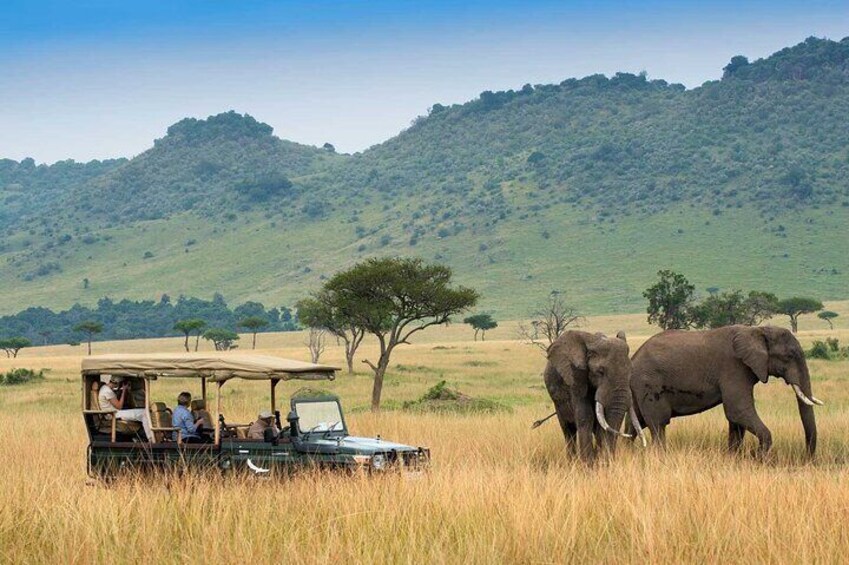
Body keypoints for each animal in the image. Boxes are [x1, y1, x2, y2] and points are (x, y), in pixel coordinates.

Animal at [541, 330, 645, 460]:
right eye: (600, 371)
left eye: (631, 371)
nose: (610, 459)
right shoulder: (576, 377)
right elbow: (586, 417)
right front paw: (588, 464)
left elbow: (603, 424)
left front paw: (601, 461)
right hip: (557, 401)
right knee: (568, 431)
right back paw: (572, 461)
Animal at [629, 325, 823, 455]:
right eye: (789, 356)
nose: (807, 458)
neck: (757, 330)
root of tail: (633, 358)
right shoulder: (734, 367)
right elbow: (737, 411)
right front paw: (759, 458)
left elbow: (736, 419)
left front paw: (734, 458)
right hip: (649, 383)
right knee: (658, 424)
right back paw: (659, 456)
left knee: (634, 424)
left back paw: (626, 452)